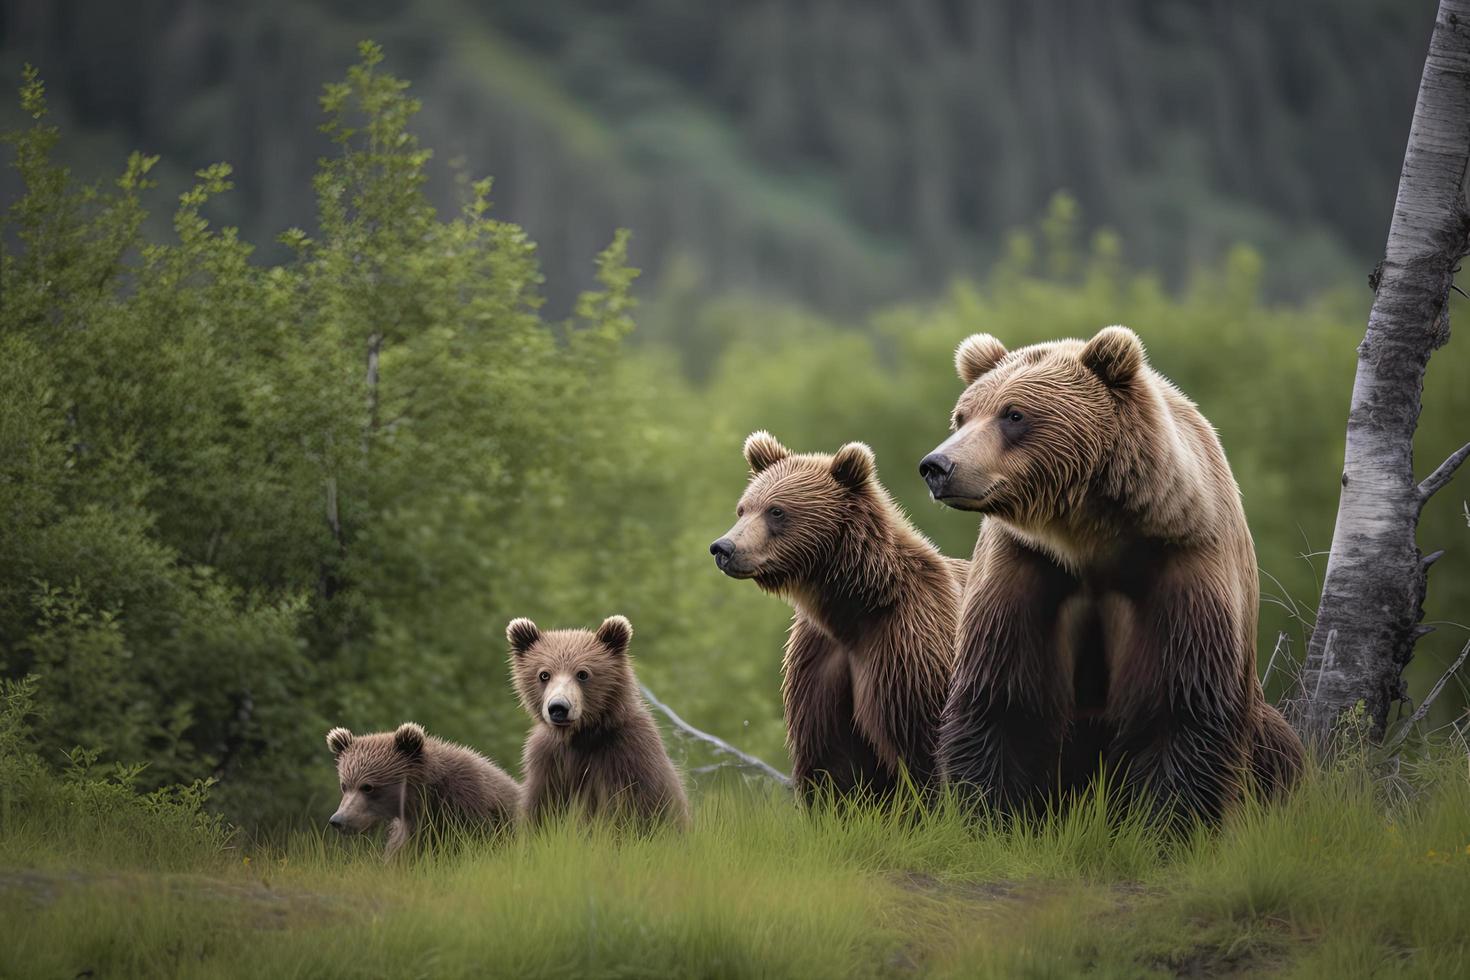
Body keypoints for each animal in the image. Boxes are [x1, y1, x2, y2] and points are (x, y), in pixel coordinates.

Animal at [923, 326, 1305, 822]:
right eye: (962, 416)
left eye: (1014, 414)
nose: (937, 466)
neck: (1090, 537)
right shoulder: (1026, 568)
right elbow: (1003, 698)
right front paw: (988, 811)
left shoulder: (1182, 567)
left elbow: (1183, 706)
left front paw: (1168, 819)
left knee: (1282, 751)